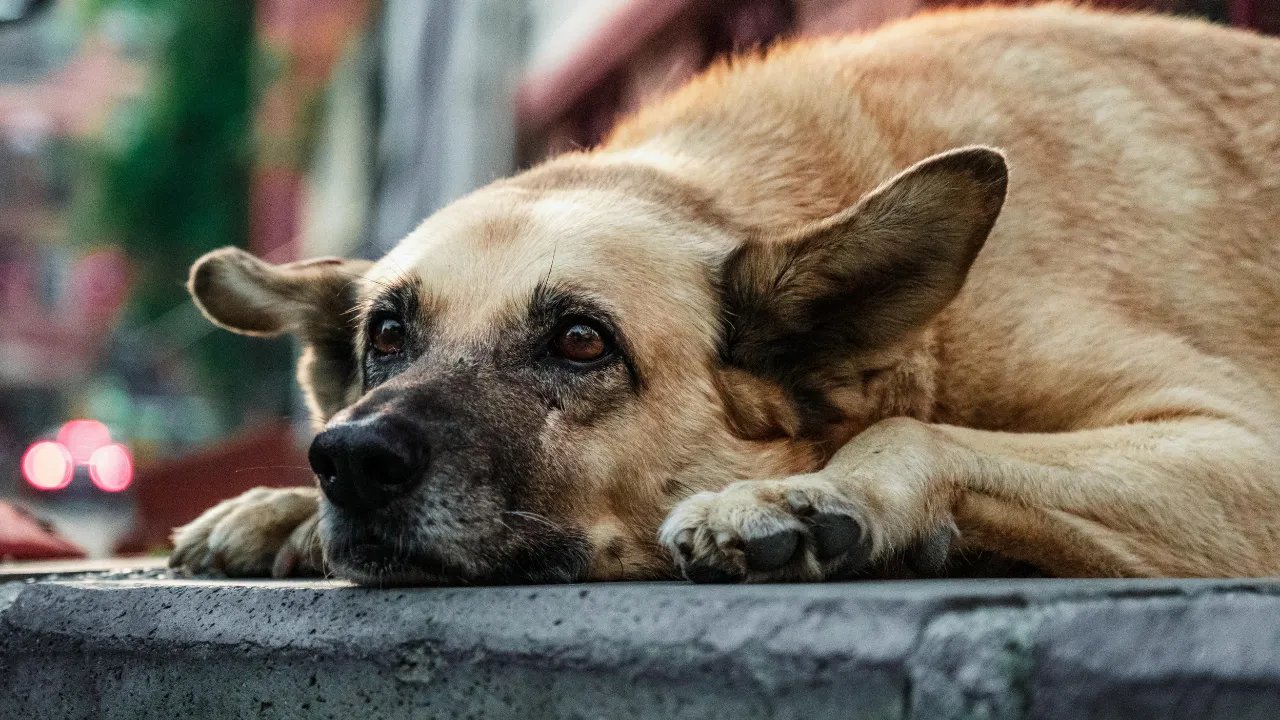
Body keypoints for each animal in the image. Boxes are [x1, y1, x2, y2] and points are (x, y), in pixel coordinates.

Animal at [167, 5, 1280, 584]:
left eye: (582, 341)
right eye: (387, 336)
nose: (349, 460)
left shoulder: (1241, 448)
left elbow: (915, 433)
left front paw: (811, 493)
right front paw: (282, 511)